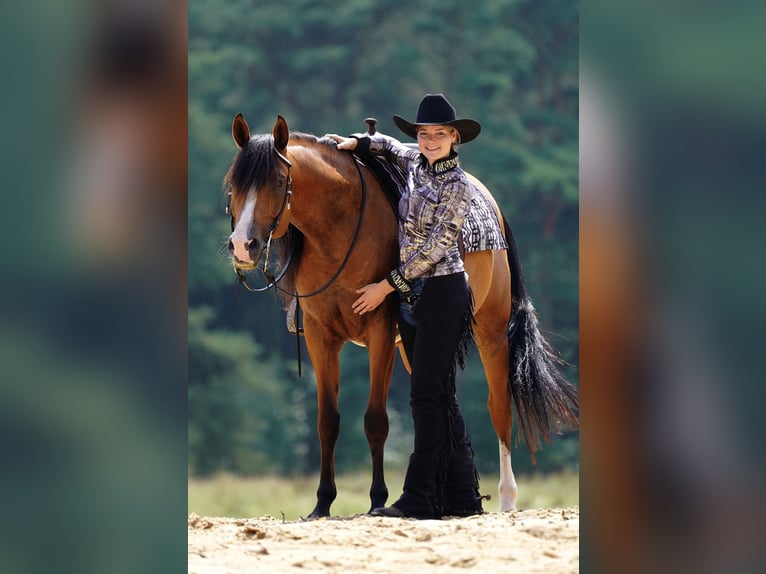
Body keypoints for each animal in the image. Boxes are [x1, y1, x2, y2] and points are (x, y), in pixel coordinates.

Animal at [224, 113, 578, 518]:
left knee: (499, 406)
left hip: (491, 331)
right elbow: (327, 421)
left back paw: (505, 499)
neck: (341, 231)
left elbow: (376, 420)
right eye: (233, 183)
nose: (242, 246)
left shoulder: (379, 332)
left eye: (279, 182)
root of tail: (489, 201)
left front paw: (378, 499)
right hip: (416, 348)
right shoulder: (319, 337)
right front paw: (322, 503)